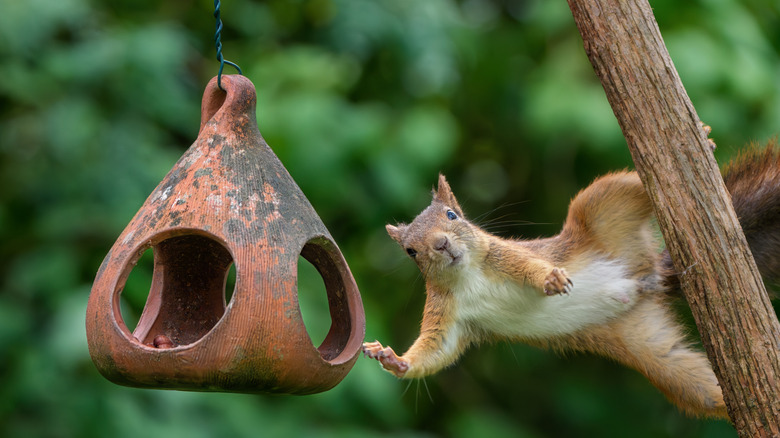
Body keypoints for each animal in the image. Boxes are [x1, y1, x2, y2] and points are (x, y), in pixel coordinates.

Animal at [363, 140, 780, 419]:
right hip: (648, 347)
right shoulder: (446, 315)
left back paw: (703, 141)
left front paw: (550, 280)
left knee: (632, 187)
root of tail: (647, 278)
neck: (466, 277)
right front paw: (393, 360)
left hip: (601, 206)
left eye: (452, 215)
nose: (442, 244)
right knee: (692, 383)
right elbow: (437, 350)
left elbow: (530, 268)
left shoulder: (506, 256)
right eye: (410, 251)